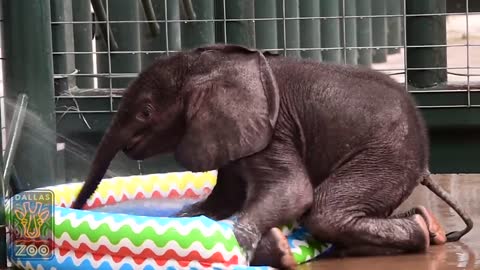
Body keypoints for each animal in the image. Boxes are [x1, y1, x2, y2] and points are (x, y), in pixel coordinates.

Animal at [71, 43, 472, 268]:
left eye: (145, 112)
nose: (72, 210)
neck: (210, 66)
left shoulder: (274, 130)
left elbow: (292, 192)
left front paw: (270, 250)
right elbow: (224, 197)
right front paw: (188, 215)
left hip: (386, 156)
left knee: (325, 212)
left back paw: (421, 231)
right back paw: (426, 227)